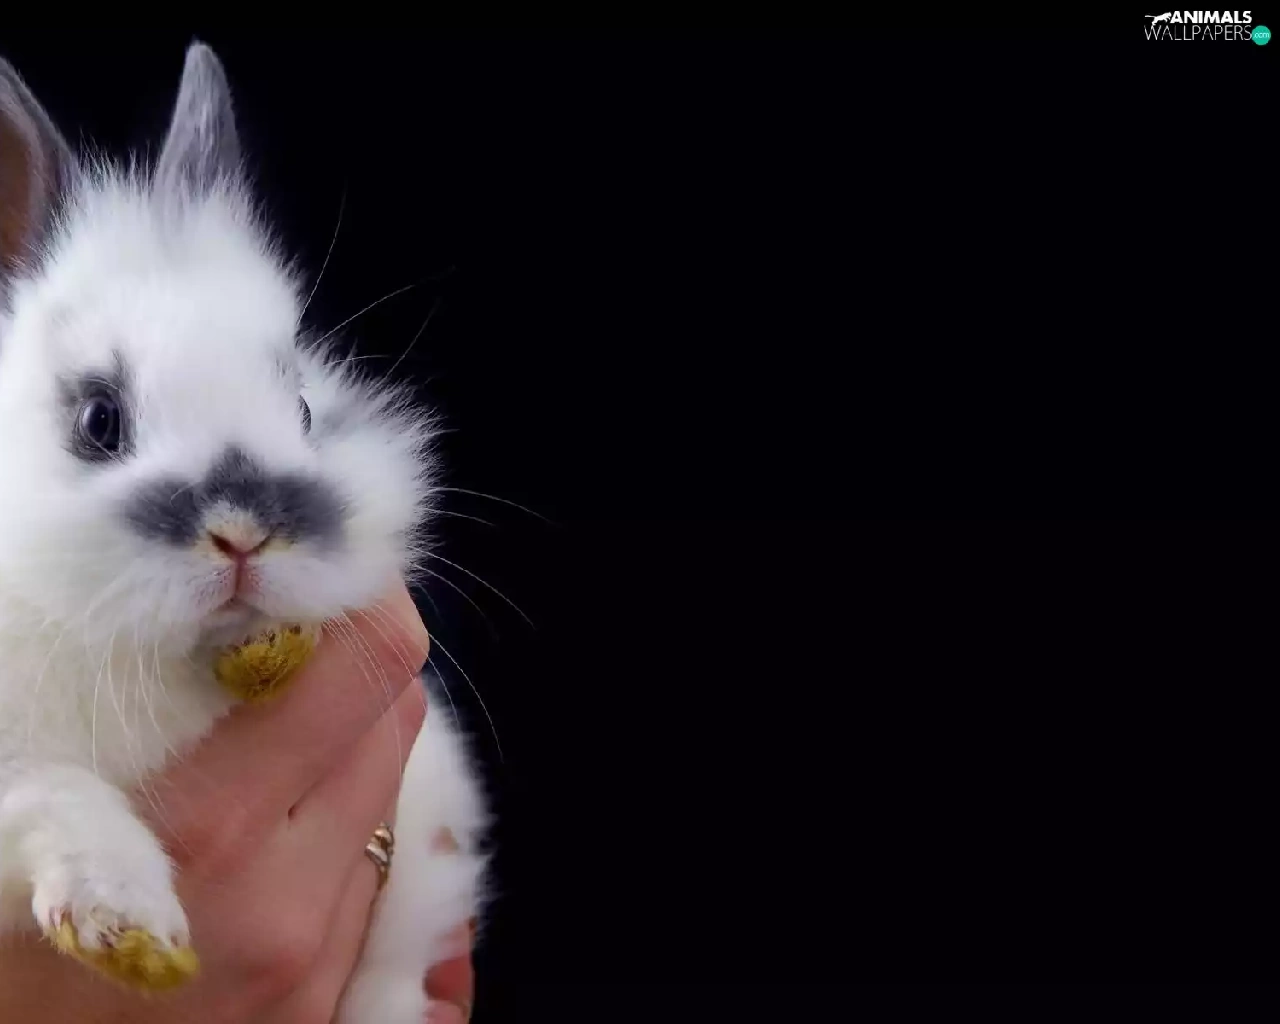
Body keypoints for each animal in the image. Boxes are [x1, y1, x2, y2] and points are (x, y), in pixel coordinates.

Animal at [0, 41, 486, 1023]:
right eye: (98, 420)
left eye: (301, 405)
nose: (243, 534)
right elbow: (54, 794)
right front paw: (130, 928)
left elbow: (386, 981)